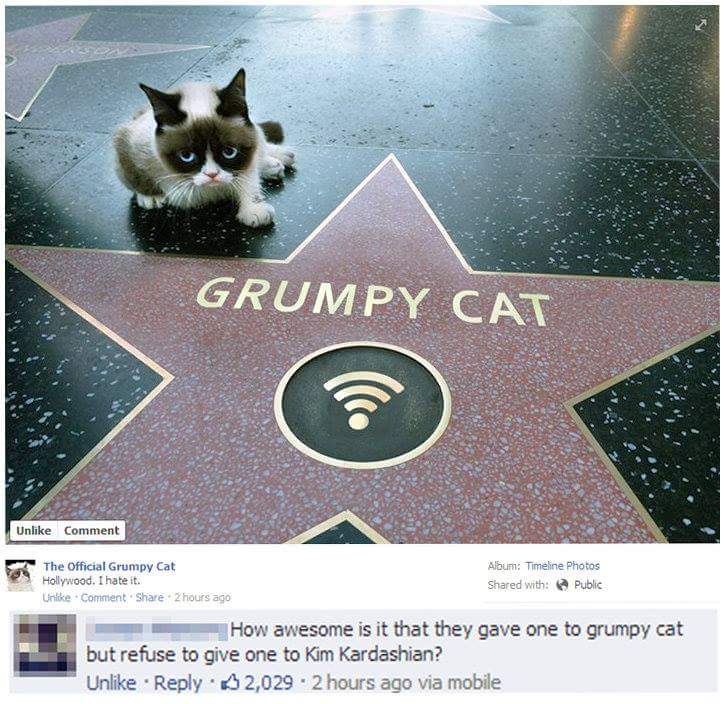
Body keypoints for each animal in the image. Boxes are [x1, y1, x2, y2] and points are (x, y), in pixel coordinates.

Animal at [113, 68, 294, 227]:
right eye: (186, 156)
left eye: (229, 152)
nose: (212, 174)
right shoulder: (128, 143)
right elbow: (135, 174)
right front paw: (151, 196)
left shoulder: (247, 156)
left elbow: (248, 178)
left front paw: (253, 209)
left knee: (261, 145)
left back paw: (280, 159)